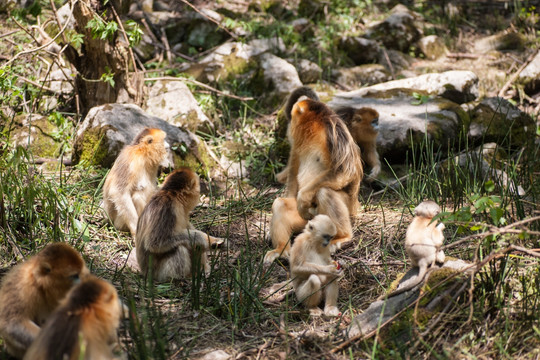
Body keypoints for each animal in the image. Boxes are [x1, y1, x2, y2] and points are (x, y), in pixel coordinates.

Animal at [264, 87, 362, 262]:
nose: (289, 122)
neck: (314, 127)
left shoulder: (333, 131)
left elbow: (345, 170)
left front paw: (303, 196)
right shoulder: (297, 140)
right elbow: (294, 169)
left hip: (344, 207)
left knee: (324, 192)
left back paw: (343, 236)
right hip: (306, 221)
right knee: (280, 203)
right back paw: (281, 250)